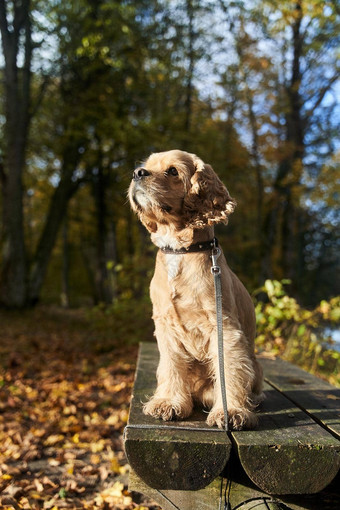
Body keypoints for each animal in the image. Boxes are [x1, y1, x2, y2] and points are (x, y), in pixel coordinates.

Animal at [127, 149, 262, 428]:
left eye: (172, 171)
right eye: (146, 165)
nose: (137, 173)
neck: (180, 250)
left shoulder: (223, 326)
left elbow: (229, 368)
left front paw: (231, 411)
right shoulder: (166, 327)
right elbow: (171, 366)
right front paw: (169, 402)